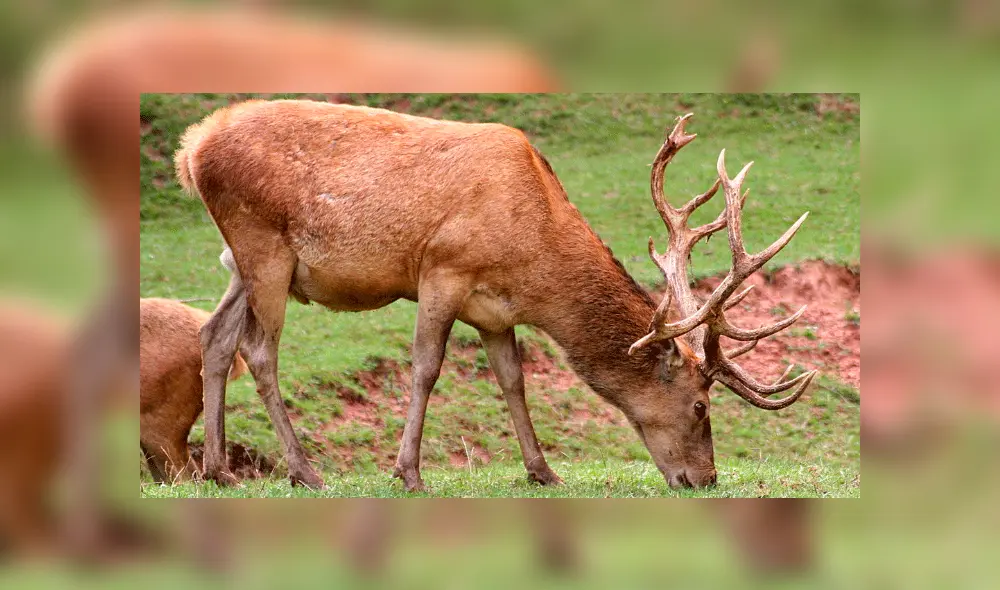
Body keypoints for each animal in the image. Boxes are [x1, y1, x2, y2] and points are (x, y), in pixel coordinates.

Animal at [174, 100, 816, 492]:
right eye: (702, 406)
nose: (705, 478)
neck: (532, 260)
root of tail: (192, 149)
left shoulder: (494, 310)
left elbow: (512, 378)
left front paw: (543, 471)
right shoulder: (442, 269)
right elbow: (426, 367)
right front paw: (408, 473)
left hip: (241, 262)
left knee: (214, 335)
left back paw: (218, 470)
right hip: (263, 245)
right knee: (259, 350)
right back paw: (304, 471)